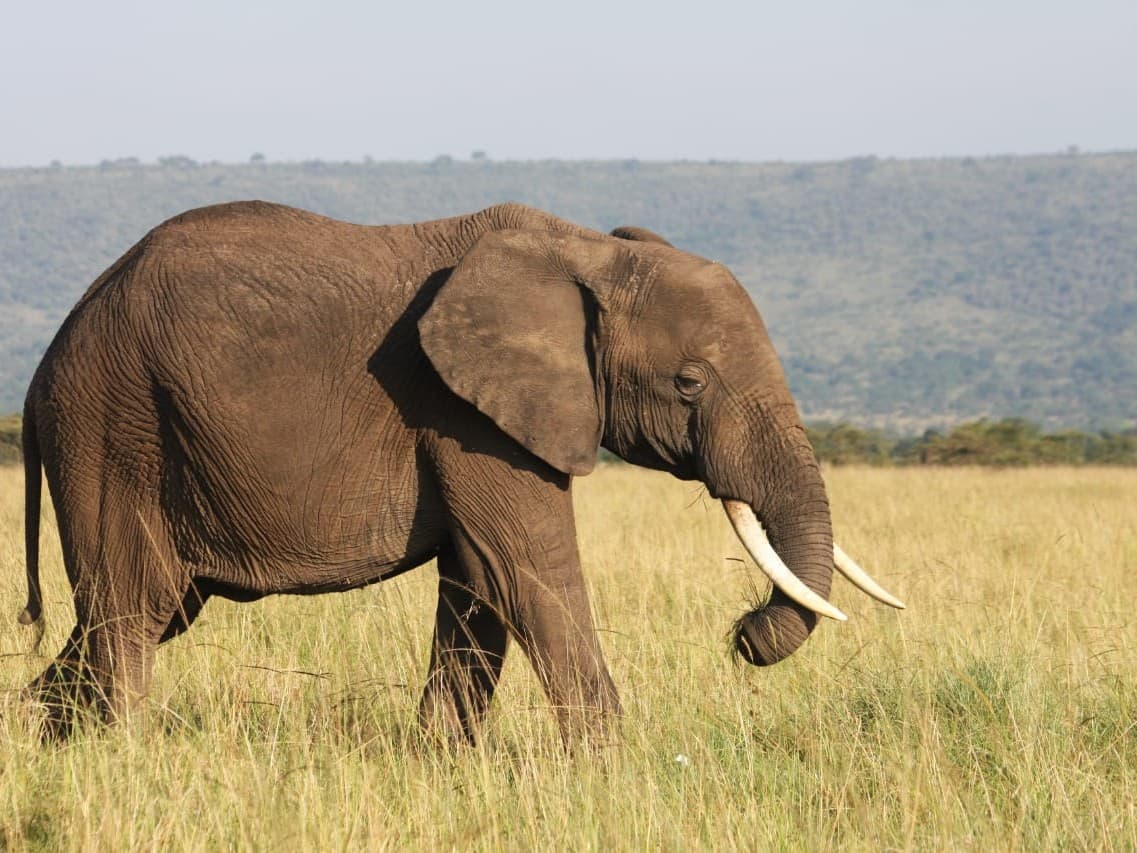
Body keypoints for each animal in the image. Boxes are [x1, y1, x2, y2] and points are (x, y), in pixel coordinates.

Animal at [16, 201, 904, 741]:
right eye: (688, 382)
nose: (744, 633)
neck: (586, 252)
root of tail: (46, 361)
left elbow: (478, 583)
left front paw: (437, 761)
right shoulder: (466, 411)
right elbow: (527, 569)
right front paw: (611, 770)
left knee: (142, 611)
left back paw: (46, 741)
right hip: (112, 425)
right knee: (129, 610)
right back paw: (119, 753)